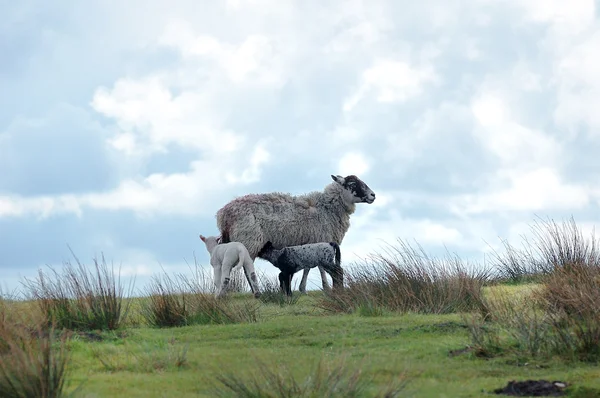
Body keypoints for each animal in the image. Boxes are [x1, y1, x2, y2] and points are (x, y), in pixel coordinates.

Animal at [216, 174, 376, 292]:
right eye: (353, 184)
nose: (373, 195)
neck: (326, 208)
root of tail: (224, 213)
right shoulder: (320, 239)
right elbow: (319, 268)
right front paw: (325, 287)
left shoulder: (308, 244)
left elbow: (307, 267)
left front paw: (302, 288)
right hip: (249, 240)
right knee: (246, 268)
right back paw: (256, 292)